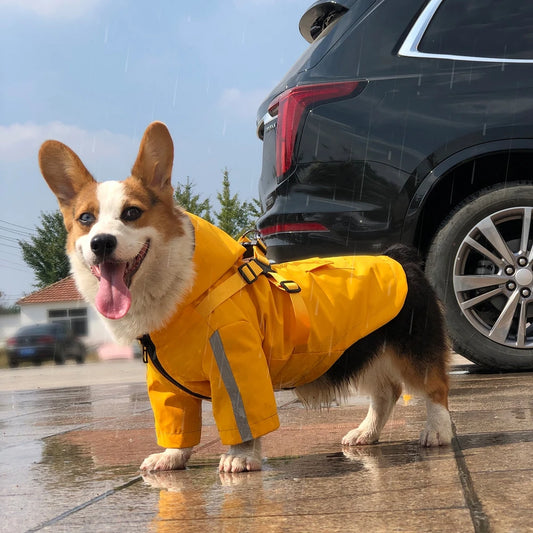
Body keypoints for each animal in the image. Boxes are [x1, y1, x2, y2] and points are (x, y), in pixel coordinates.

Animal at [39, 122, 450, 472]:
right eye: (86, 219)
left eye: (132, 213)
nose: (101, 243)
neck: (176, 291)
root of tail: (399, 256)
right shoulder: (164, 382)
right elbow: (176, 421)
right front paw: (171, 456)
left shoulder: (236, 361)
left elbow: (243, 418)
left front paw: (241, 457)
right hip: (361, 351)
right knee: (386, 392)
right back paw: (366, 433)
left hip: (411, 347)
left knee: (434, 387)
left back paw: (437, 431)